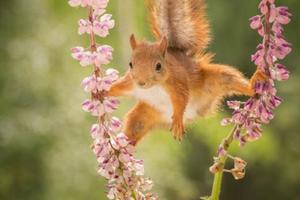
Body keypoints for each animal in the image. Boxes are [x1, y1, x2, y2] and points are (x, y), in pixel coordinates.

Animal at [108, 0, 264, 144]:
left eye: (158, 66)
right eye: (130, 64)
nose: (141, 82)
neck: (154, 87)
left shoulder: (177, 82)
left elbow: (182, 98)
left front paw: (177, 120)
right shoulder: (130, 82)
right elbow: (116, 87)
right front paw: (103, 92)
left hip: (218, 78)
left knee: (232, 80)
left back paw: (255, 83)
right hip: (144, 114)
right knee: (135, 126)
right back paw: (120, 149)